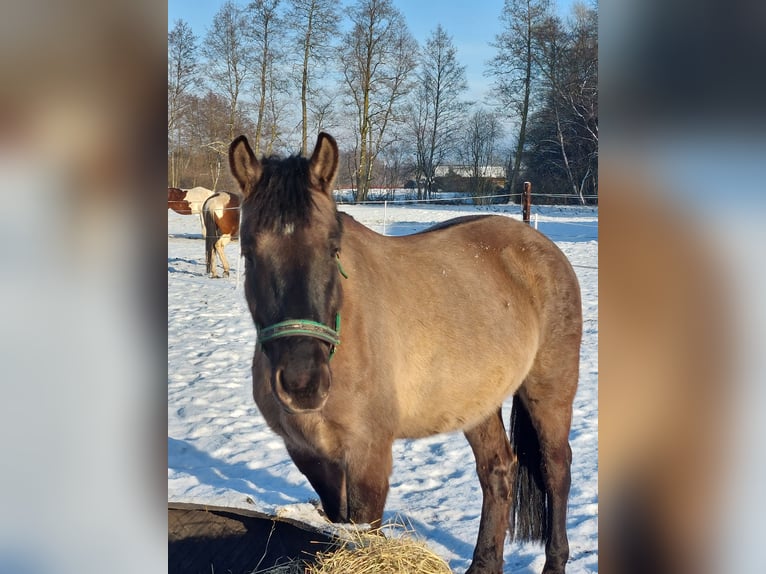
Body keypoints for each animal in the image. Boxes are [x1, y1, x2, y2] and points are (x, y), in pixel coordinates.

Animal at [229, 133, 582, 574]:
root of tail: (539, 245)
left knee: (556, 471)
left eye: (333, 249)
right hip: (477, 405)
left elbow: (364, 529)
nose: (302, 383)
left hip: (548, 394)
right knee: (498, 471)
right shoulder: (310, 455)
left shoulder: (369, 457)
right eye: (248, 252)